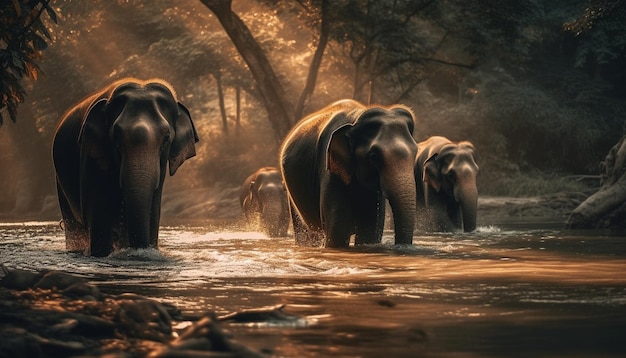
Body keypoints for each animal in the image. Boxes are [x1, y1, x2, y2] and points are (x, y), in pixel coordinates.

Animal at [280, 99, 416, 248]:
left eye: (415, 152)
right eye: (373, 156)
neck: (356, 119)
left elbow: (369, 230)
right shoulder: (329, 169)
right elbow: (339, 227)